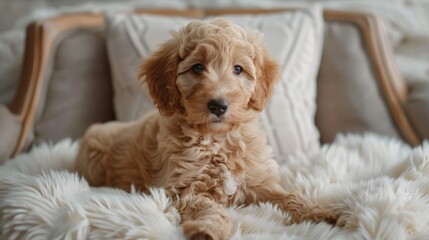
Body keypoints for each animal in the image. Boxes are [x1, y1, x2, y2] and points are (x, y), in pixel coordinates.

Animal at [77, 17, 338, 239]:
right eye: (197, 68)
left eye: (238, 69)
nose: (218, 105)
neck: (217, 139)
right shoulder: (185, 189)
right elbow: (208, 207)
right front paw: (208, 229)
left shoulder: (259, 181)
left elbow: (288, 195)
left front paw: (318, 212)